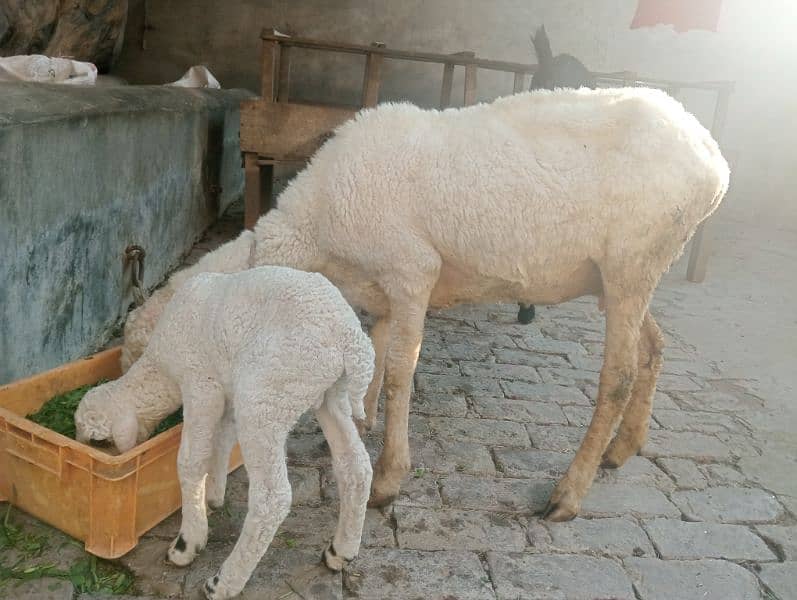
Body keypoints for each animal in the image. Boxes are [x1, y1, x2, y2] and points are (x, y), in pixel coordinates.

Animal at [74, 268, 374, 600]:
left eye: (100, 441)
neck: (161, 370)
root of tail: (351, 341)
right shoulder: (225, 395)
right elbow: (220, 444)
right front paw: (213, 497)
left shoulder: (201, 386)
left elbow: (191, 461)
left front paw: (189, 539)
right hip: (330, 394)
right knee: (355, 467)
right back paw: (340, 551)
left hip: (266, 397)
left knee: (272, 498)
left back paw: (224, 581)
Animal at [116, 86, 728, 524]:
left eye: (149, 354)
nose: (132, 436)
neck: (316, 230)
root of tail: (711, 155)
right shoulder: (385, 290)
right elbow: (373, 354)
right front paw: (360, 420)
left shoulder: (413, 273)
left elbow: (399, 372)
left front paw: (388, 480)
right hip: (626, 276)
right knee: (653, 347)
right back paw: (624, 448)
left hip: (631, 262)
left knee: (618, 375)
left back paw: (569, 493)